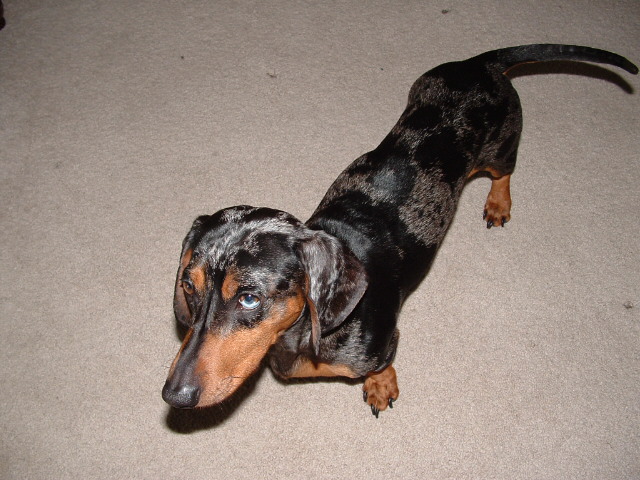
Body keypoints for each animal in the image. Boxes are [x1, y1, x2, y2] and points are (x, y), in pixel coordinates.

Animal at [164, 47, 636, 418]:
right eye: (188, 286)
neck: (301, 333)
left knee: (504, 172)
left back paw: (498, 203)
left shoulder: (382, 343)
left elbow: (381, 364)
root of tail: (479, 64)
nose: (174, 396)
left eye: (249, 298)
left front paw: (380, 386)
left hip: (501, 148)